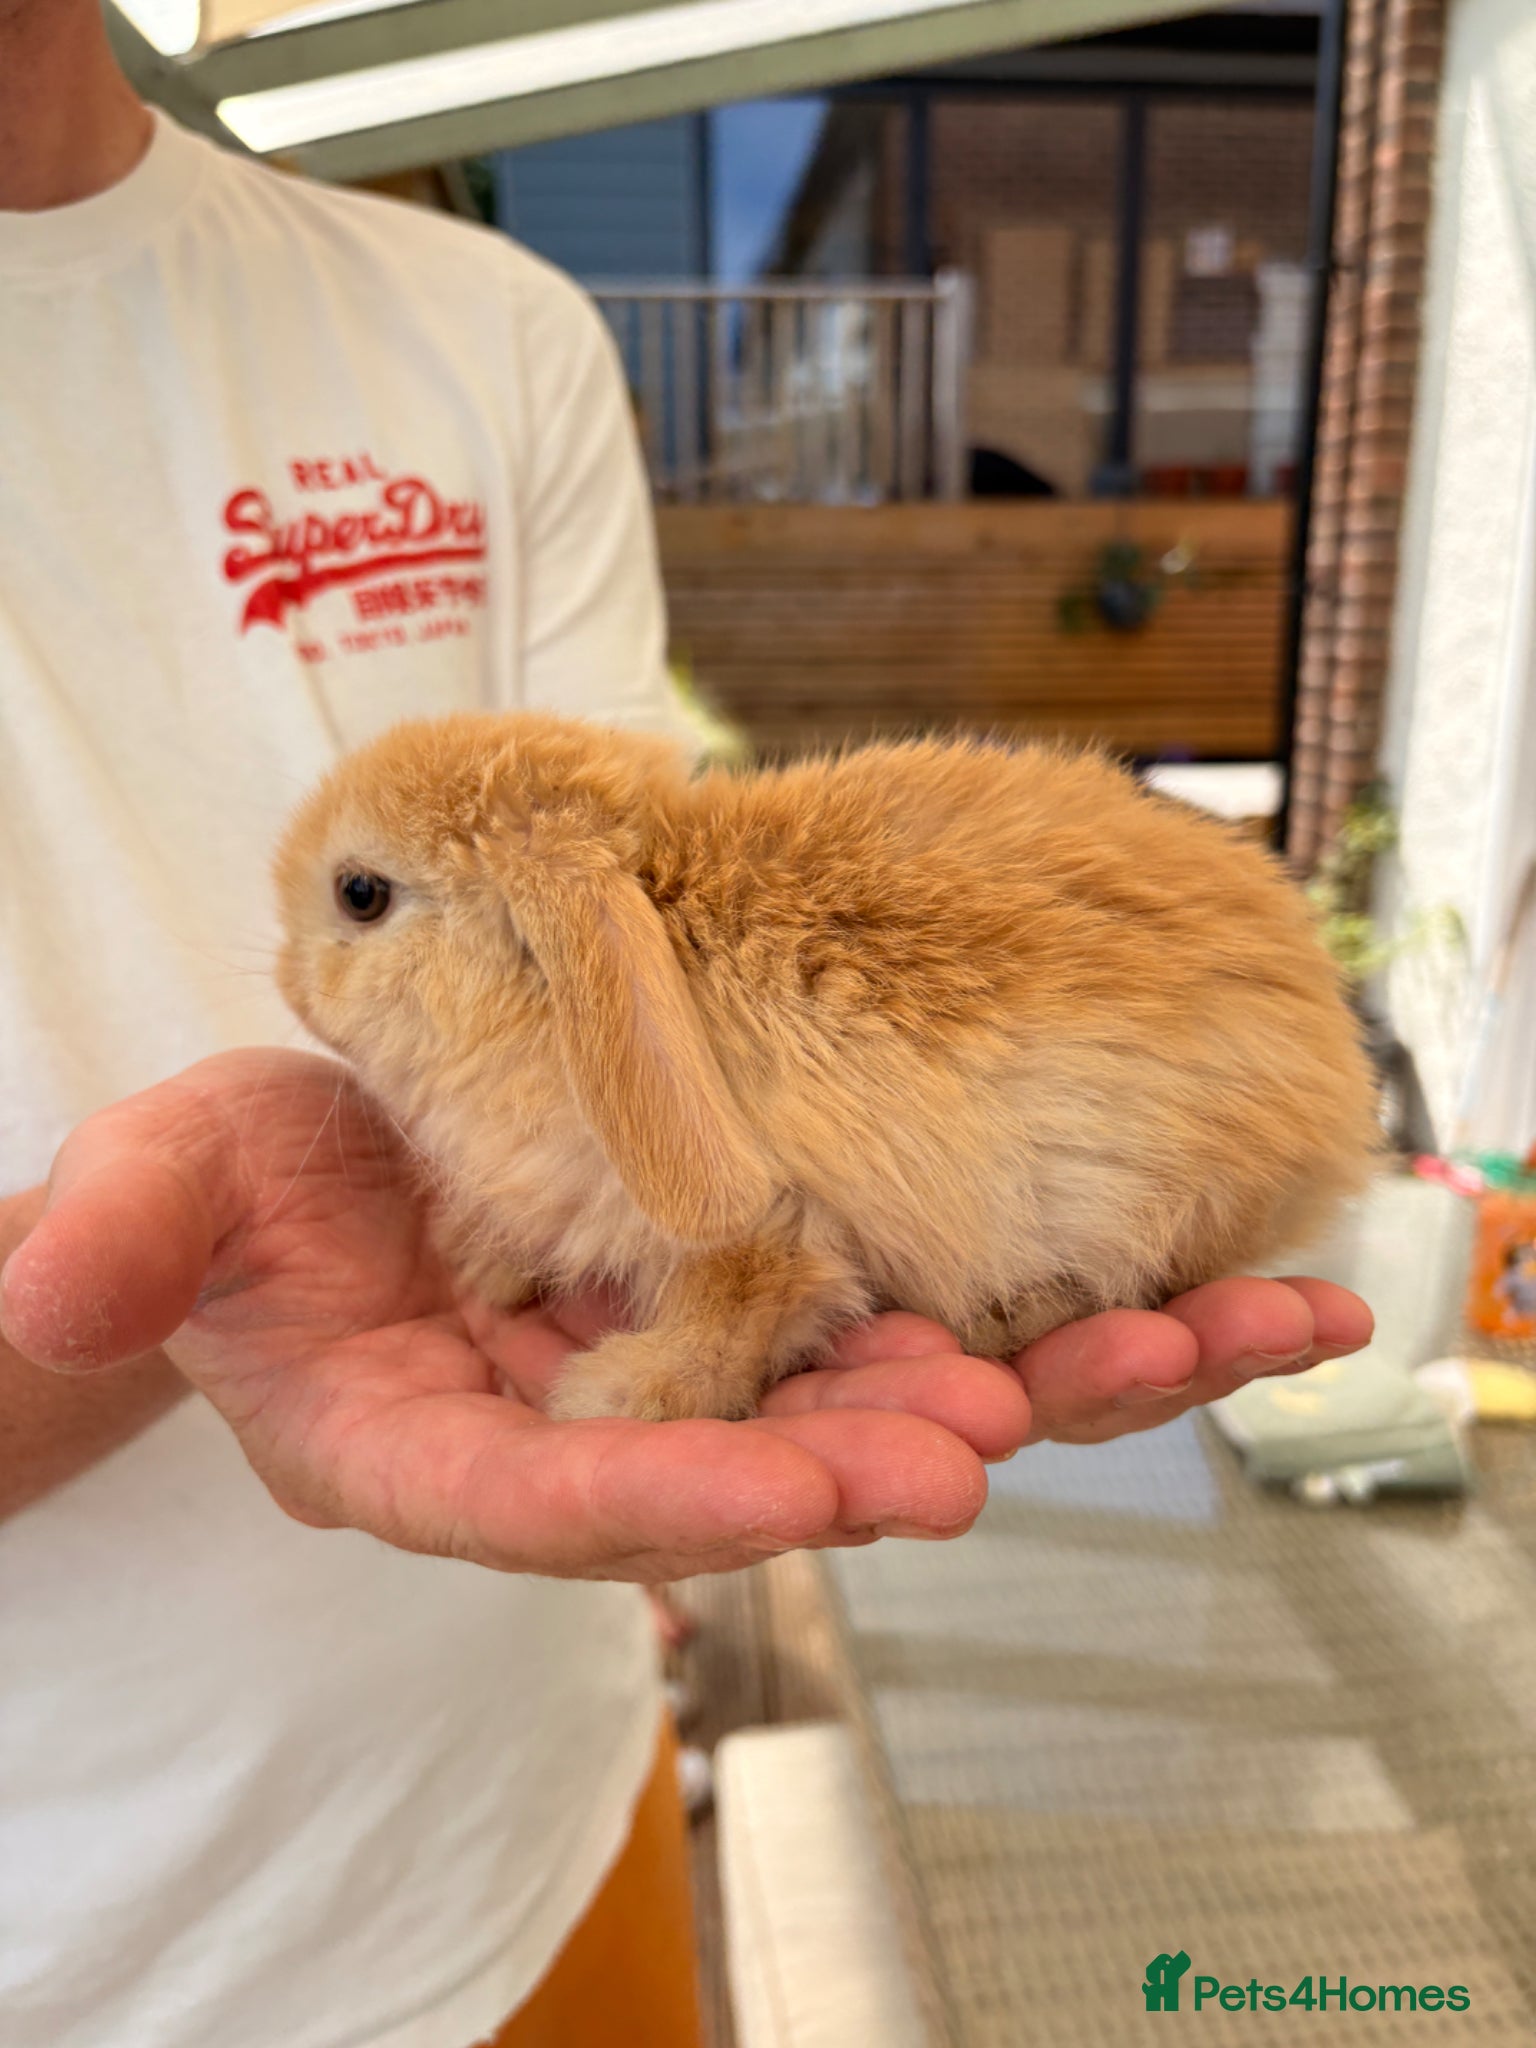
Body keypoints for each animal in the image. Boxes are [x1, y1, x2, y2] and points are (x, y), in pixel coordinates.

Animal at [273, 712, 1377, 1424]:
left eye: (360, 893)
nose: (287, 985)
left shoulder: (771, 1226)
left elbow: (738, 1307)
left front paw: (619, 1392)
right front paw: (485, 1265)